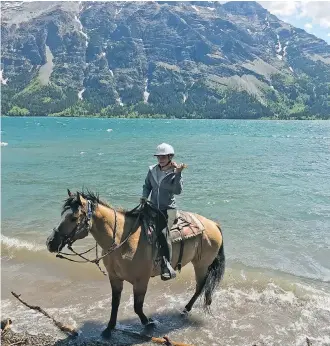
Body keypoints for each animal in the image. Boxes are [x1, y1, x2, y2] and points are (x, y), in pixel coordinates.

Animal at [45, 189, 224, 338]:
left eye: (73, 218)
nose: (50, 243)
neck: (123, 241)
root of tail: (213, 224)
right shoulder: (115, 278)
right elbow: (115, 303)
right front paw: (109, 328)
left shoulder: (141, 280)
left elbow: (137, 306)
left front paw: (149, 322)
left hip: (201, 264)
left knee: (200, 286)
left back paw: (185, 309)